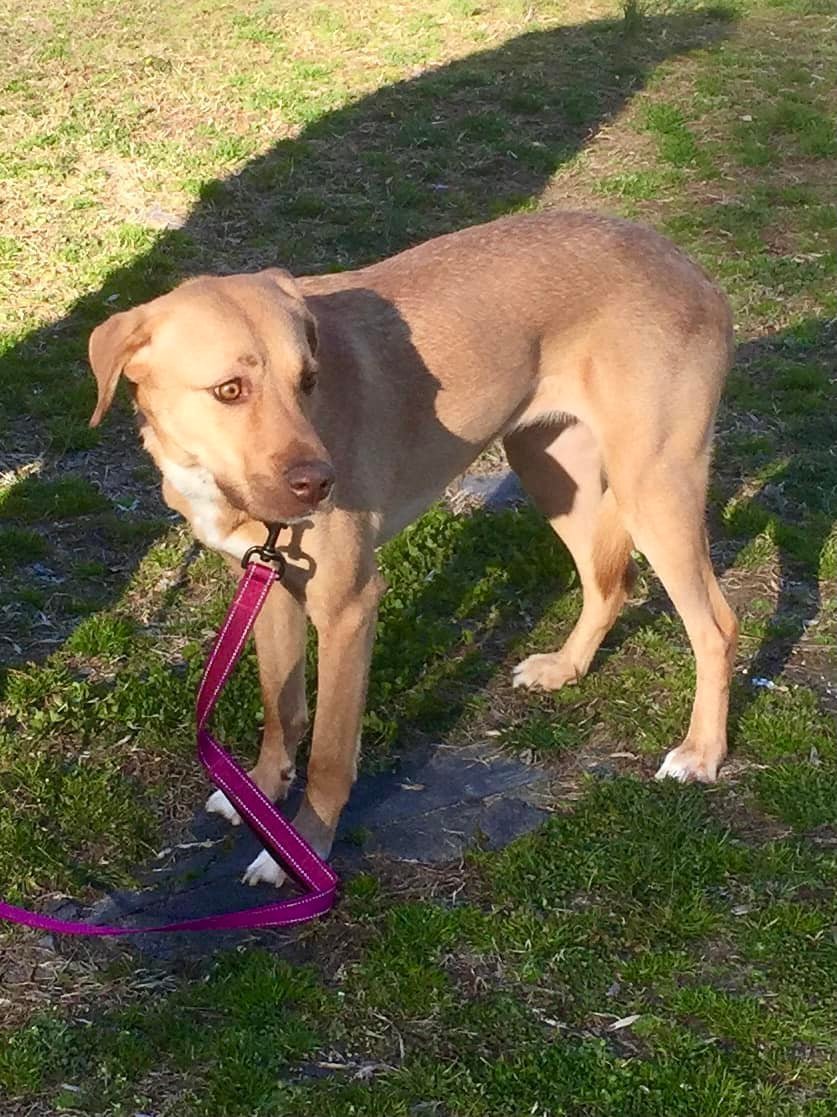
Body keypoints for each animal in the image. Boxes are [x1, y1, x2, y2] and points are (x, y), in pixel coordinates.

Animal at [88, 213, 733, 884]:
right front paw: (259, 794)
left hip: (653, 487)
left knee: (716, 625)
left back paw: (700, 753)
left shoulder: (348, 608)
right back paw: (566, 668)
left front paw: (302, 850)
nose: (321, 484)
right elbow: (281, 710)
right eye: (230, 390)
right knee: (610, 583)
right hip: (554, 472)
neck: (214, 479)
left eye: (308, 381)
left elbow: (329, 754)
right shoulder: (270, 585)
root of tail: (687, 265)